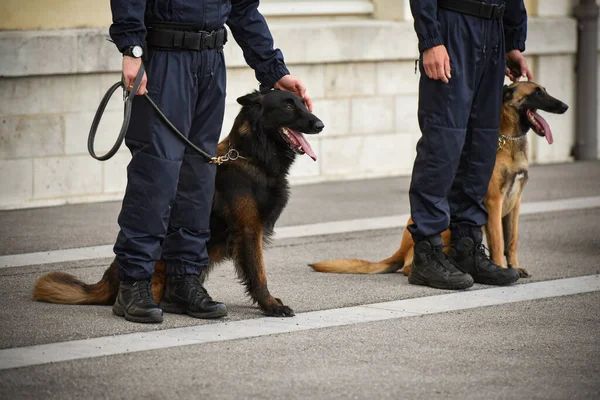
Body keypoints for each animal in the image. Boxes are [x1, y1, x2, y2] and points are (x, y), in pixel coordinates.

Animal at [32, 89, 324, 318]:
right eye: (288, 105)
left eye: (302, 103)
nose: (320, 124)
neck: (251, 156)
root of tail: (109, 279)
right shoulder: (249, 230)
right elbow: (258, 273)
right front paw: (270, 305)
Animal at [312, 82, 568, 278]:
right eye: (537, 93)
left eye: (543, 89)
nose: (565, 106)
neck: (508, 140)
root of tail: (401, 248)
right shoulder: (494, 203)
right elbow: (498, 243)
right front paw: (502, 268)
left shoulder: (515, 204)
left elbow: (511, 241)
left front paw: (514, 266)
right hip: (444, 226)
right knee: (409, 265)